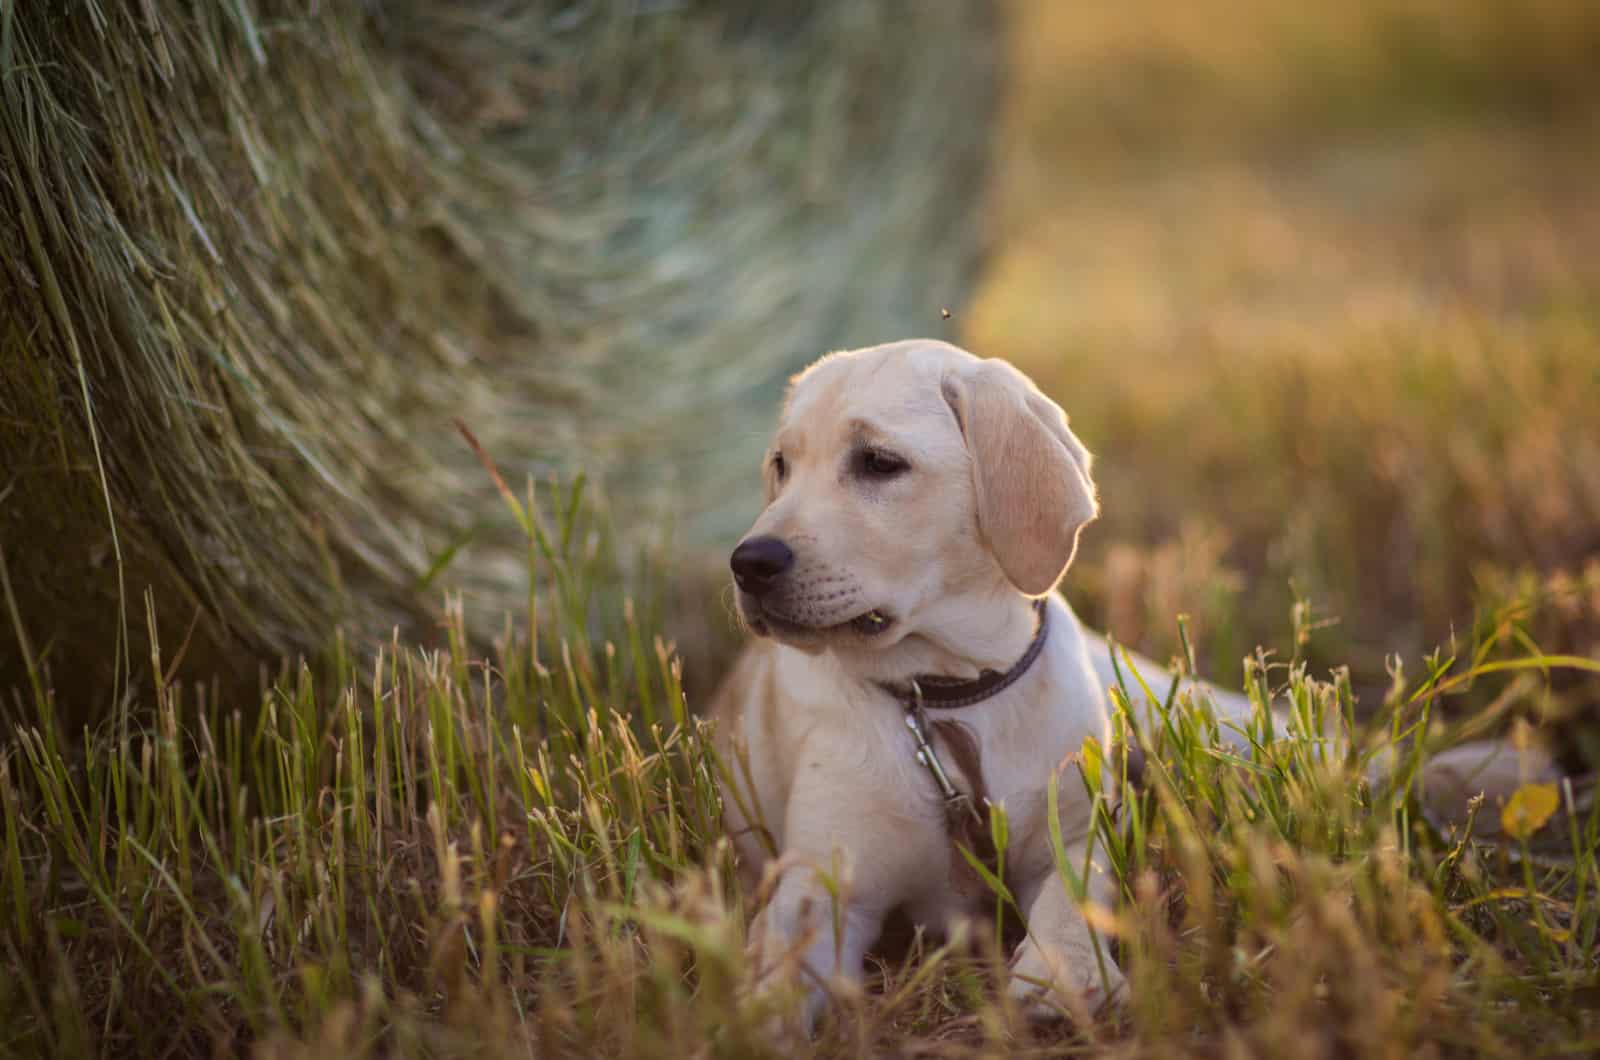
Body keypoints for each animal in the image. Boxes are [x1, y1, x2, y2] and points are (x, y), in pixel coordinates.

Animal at [713, 337, 1164, 1031]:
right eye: (782, 465)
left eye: (878, 463)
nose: (748, 563)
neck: (947, 694)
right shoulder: (826, 880)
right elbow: (783, 960)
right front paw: (758, 1015)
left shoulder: (1079, 827)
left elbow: (1074, 889)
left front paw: (1063, 972)